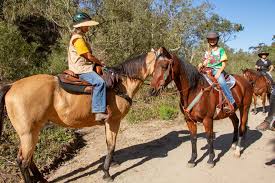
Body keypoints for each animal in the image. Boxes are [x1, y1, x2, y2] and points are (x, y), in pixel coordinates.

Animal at [0, 48, 164, 182]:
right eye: (163, 65)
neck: (121, 84)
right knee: (23, 162)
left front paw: (112, 164)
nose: (157, 89)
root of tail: (11, 86)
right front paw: (106, 173)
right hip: (28, 133)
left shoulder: (108, 122)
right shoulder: (114, 120)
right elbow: (111, 145)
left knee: (27, 158)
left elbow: (108, 143)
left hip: (31, 132)